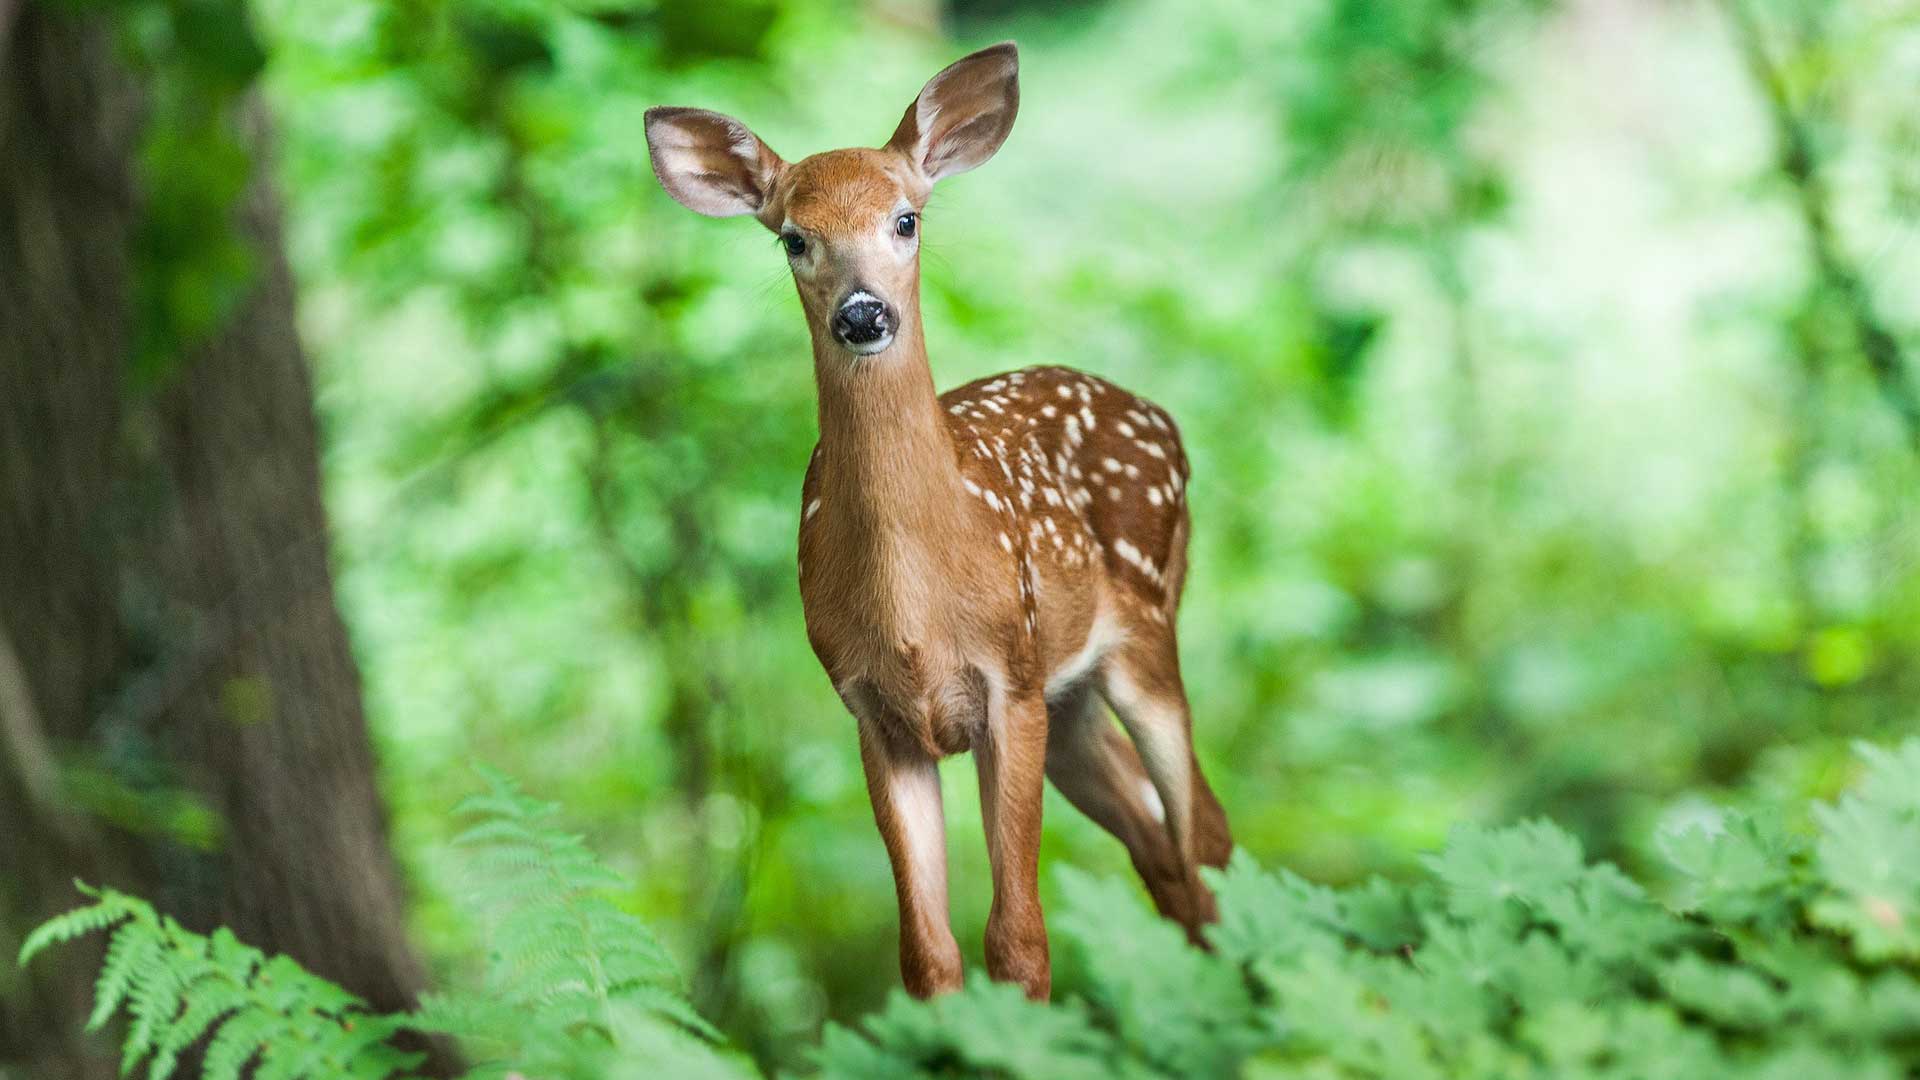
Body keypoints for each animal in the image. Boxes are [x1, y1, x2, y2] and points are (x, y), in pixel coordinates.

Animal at [644, 42, 1231, 1001]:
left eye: (906, 219)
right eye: (793, 237)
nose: (862, 313)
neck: (916, 606)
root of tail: (1161, 417)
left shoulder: (1009, 681)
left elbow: (1019, 941)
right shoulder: (873, 712)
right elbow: (927, 954)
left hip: (1143, 630)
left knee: (1204, 833)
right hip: (1071, 700)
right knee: (1161, 847)